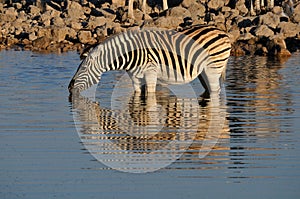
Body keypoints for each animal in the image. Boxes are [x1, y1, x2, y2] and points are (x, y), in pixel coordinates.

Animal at [68, 24, 232, 98]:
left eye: (83, 69)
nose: (69, 88)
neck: (131, 55)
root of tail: (221, 31)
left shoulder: (151, 73)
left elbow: (150, 96)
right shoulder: (134, 77)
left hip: (213, 69)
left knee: (215, 90)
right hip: (203, 72)